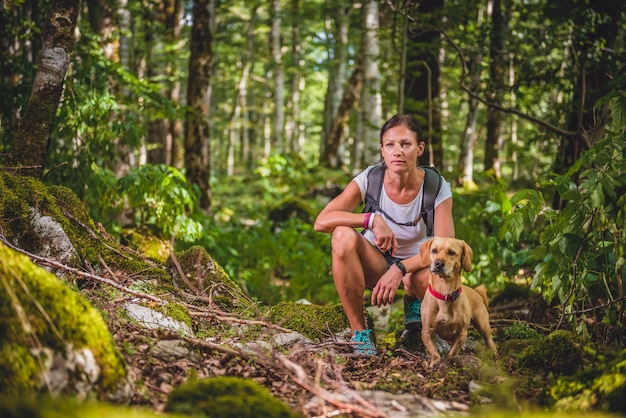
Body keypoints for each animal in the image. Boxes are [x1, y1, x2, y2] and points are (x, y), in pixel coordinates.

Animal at [416, 237, 494, 368]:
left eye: (451, 252)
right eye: (434, 250)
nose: (438, 263)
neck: (444, 293)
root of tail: (476, 291)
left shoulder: (462, 333)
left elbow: (453, 352)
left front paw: (449, 361)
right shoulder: (427, 331)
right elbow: (433, 351)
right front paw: (435, 362)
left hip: (482, 324)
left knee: (489, 340)